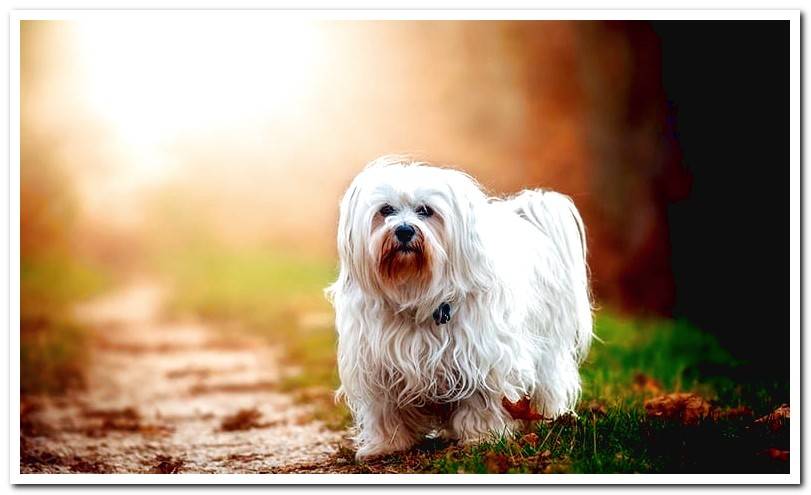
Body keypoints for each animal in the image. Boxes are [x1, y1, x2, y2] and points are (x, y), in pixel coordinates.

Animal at [326, 157, 592, 460]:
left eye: (425, 211)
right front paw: (386, 445)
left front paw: (482, 438)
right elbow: (385, 411)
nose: (404, 230)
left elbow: (481, 403)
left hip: (546, 349)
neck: (415, 292)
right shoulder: (378, 366)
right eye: (386, 210)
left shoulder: (481, 360)